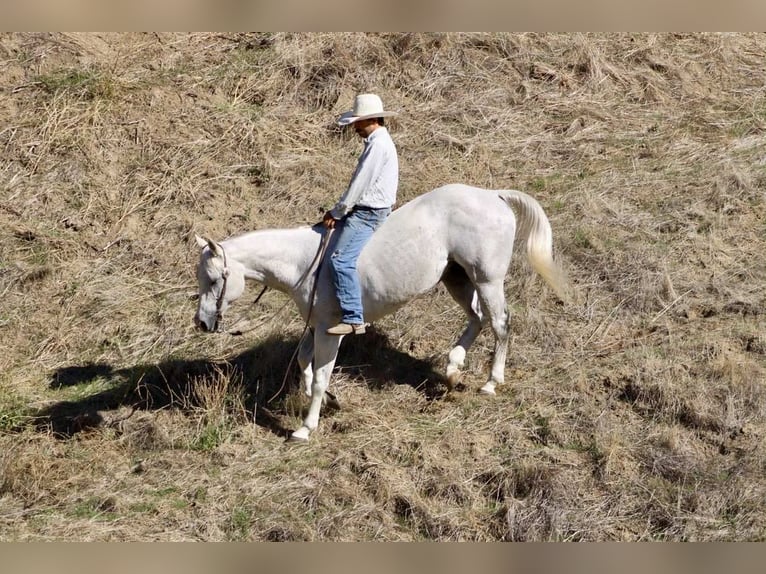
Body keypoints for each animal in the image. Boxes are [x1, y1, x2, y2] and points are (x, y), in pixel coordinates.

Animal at [194, 183, 568, 442]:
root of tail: (494, 195)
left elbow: (320, 375)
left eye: (212, 279)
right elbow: (304, 364)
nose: (202, 322)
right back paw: (452, 369)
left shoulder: (330, 330)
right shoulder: (315, 327)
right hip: (456, 278)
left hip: (488, 280)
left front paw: (306, 427)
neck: (304, 262)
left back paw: (491, 382)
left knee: (500, 322)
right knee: (477, 318)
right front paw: (329, 401)